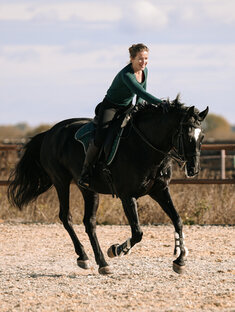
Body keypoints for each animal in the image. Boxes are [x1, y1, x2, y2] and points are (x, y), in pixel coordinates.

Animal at [8, 95, 208, 276]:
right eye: (187, 135)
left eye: (202, 137)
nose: (194, 169)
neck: (144, 147)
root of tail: (50, 132)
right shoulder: (127, 196)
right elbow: (138, 232)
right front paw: (117, 250)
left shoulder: (160, 191)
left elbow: (178, 220)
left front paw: (180, 260)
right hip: (61, 182)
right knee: (66, 217)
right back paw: (86, 257)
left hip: (88, 190)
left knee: (89, 222)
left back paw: (100, 263)